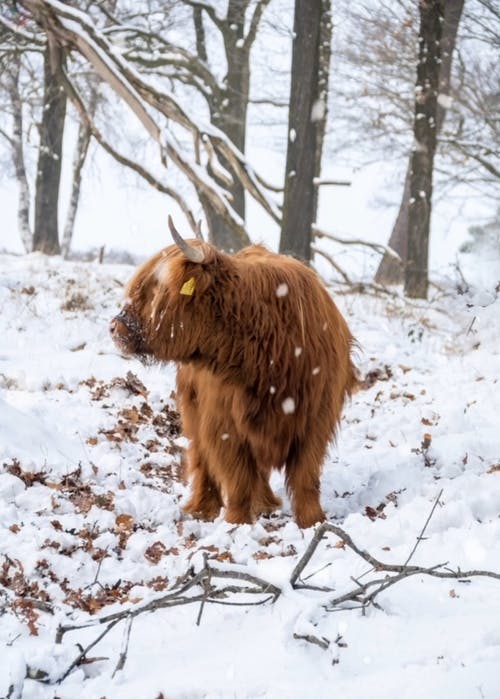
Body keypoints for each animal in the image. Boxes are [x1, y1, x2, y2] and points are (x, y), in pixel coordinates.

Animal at [111, 216, 358, 528]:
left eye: (158, 289)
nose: (115, 327)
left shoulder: (316, 418)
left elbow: (305, 476)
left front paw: (312, 522)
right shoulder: (222, 420)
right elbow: (237, 476)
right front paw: (237, 523)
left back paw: (265, 503)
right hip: (193, 406)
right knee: (203, 456)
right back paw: (204, 508)